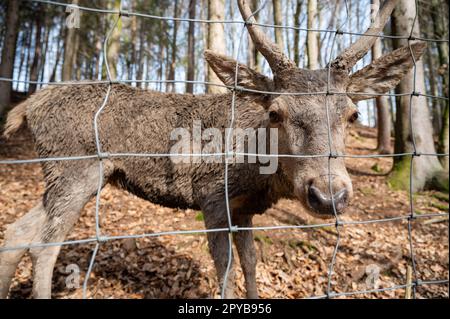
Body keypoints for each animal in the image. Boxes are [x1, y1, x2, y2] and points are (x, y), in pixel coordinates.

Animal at [1, 0, 426, 300]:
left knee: (19, 230)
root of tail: (29, 106)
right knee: (44, 247)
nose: (328, 195)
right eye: (275, 112)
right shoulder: (212, 197)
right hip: (76, 170)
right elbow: (225, 270)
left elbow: (251, 263)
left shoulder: (244, 209)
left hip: (63, 175)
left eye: (353, 113)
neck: (259, 173)